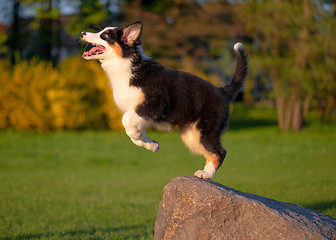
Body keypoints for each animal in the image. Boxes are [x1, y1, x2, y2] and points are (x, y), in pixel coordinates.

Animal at [80, 21, 248, 178]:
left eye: (105, 36)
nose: (82, 33)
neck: (126, 66)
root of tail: (222, 91)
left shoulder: (154, 104)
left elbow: (126, 121)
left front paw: (141, 138)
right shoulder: (140, 115)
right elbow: (133, 133)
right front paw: (152, 145)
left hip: (205, 130)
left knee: (220, 151)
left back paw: (205, 174)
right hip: (190, 135)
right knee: (212, 152)